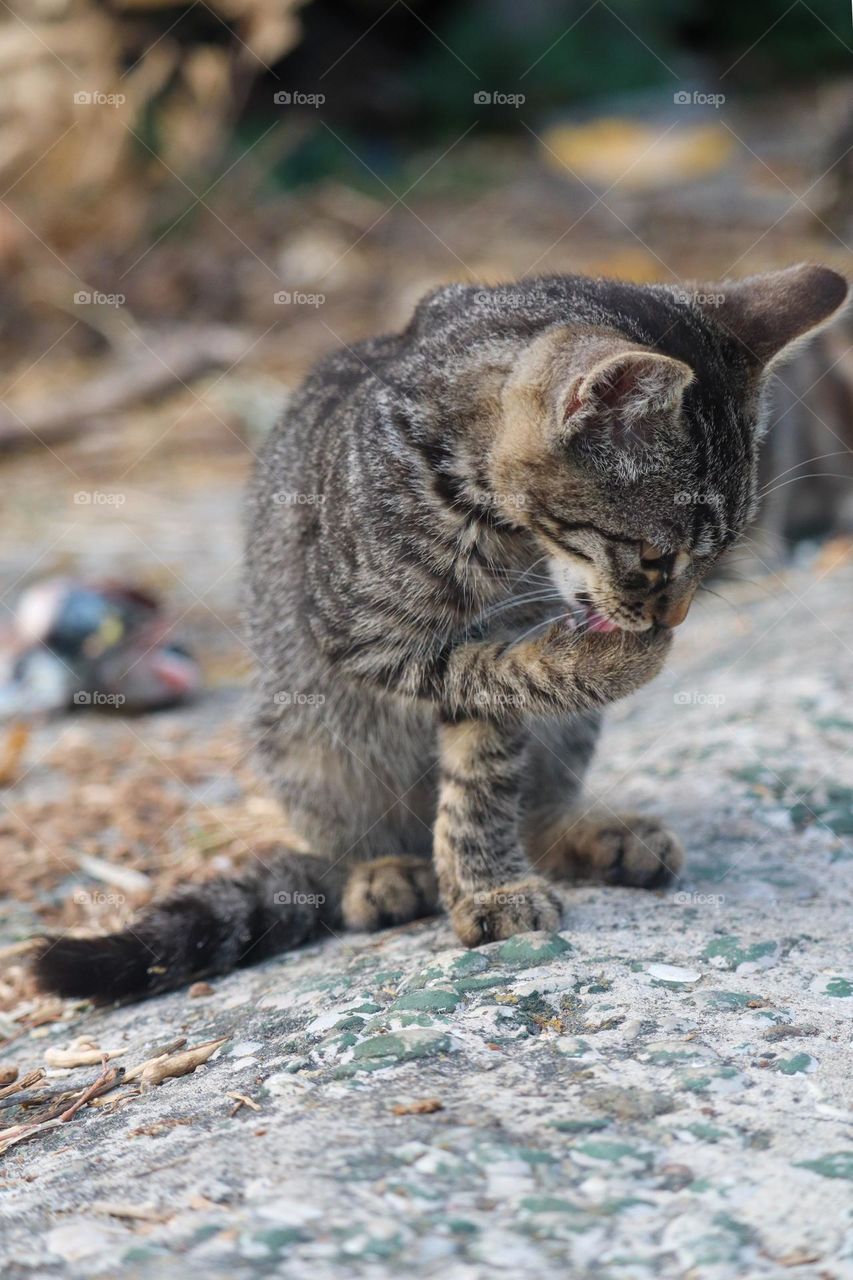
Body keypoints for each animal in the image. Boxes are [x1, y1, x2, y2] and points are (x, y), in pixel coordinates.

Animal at [33, 262, 845, 998]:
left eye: (716, 554)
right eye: (654, 555)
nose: (672, 615)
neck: (497, 529)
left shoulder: (493, 671)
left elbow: (483, 776)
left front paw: (487, 881)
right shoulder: (367, 635)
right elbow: (501, 671)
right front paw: (604, 666)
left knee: (535, 802)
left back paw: (595, 837)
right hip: (297, 735)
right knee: (337, 851)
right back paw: (384, 873)